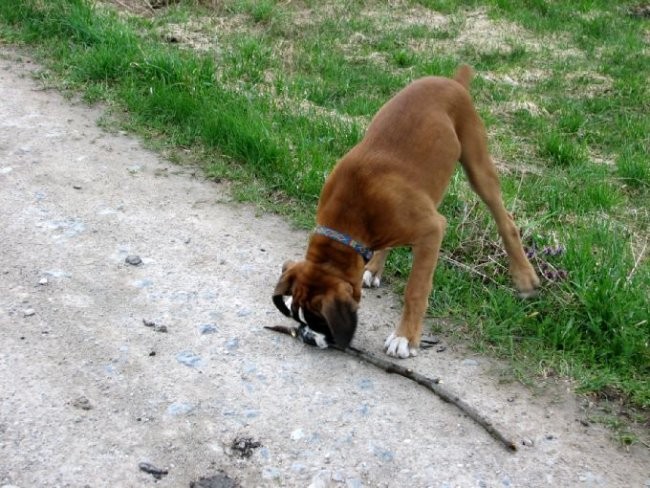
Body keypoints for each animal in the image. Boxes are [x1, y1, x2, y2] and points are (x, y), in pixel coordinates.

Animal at [270, 66, 540, 358]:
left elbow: (416, 290)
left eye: (320, 320)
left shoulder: (432, 230)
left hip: (478, 166)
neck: (349, 220)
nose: (307, 337)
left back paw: (524, 277)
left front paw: (405, 337)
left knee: (506, 221)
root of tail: (453, 81)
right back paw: (373, 269)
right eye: (297, 318)